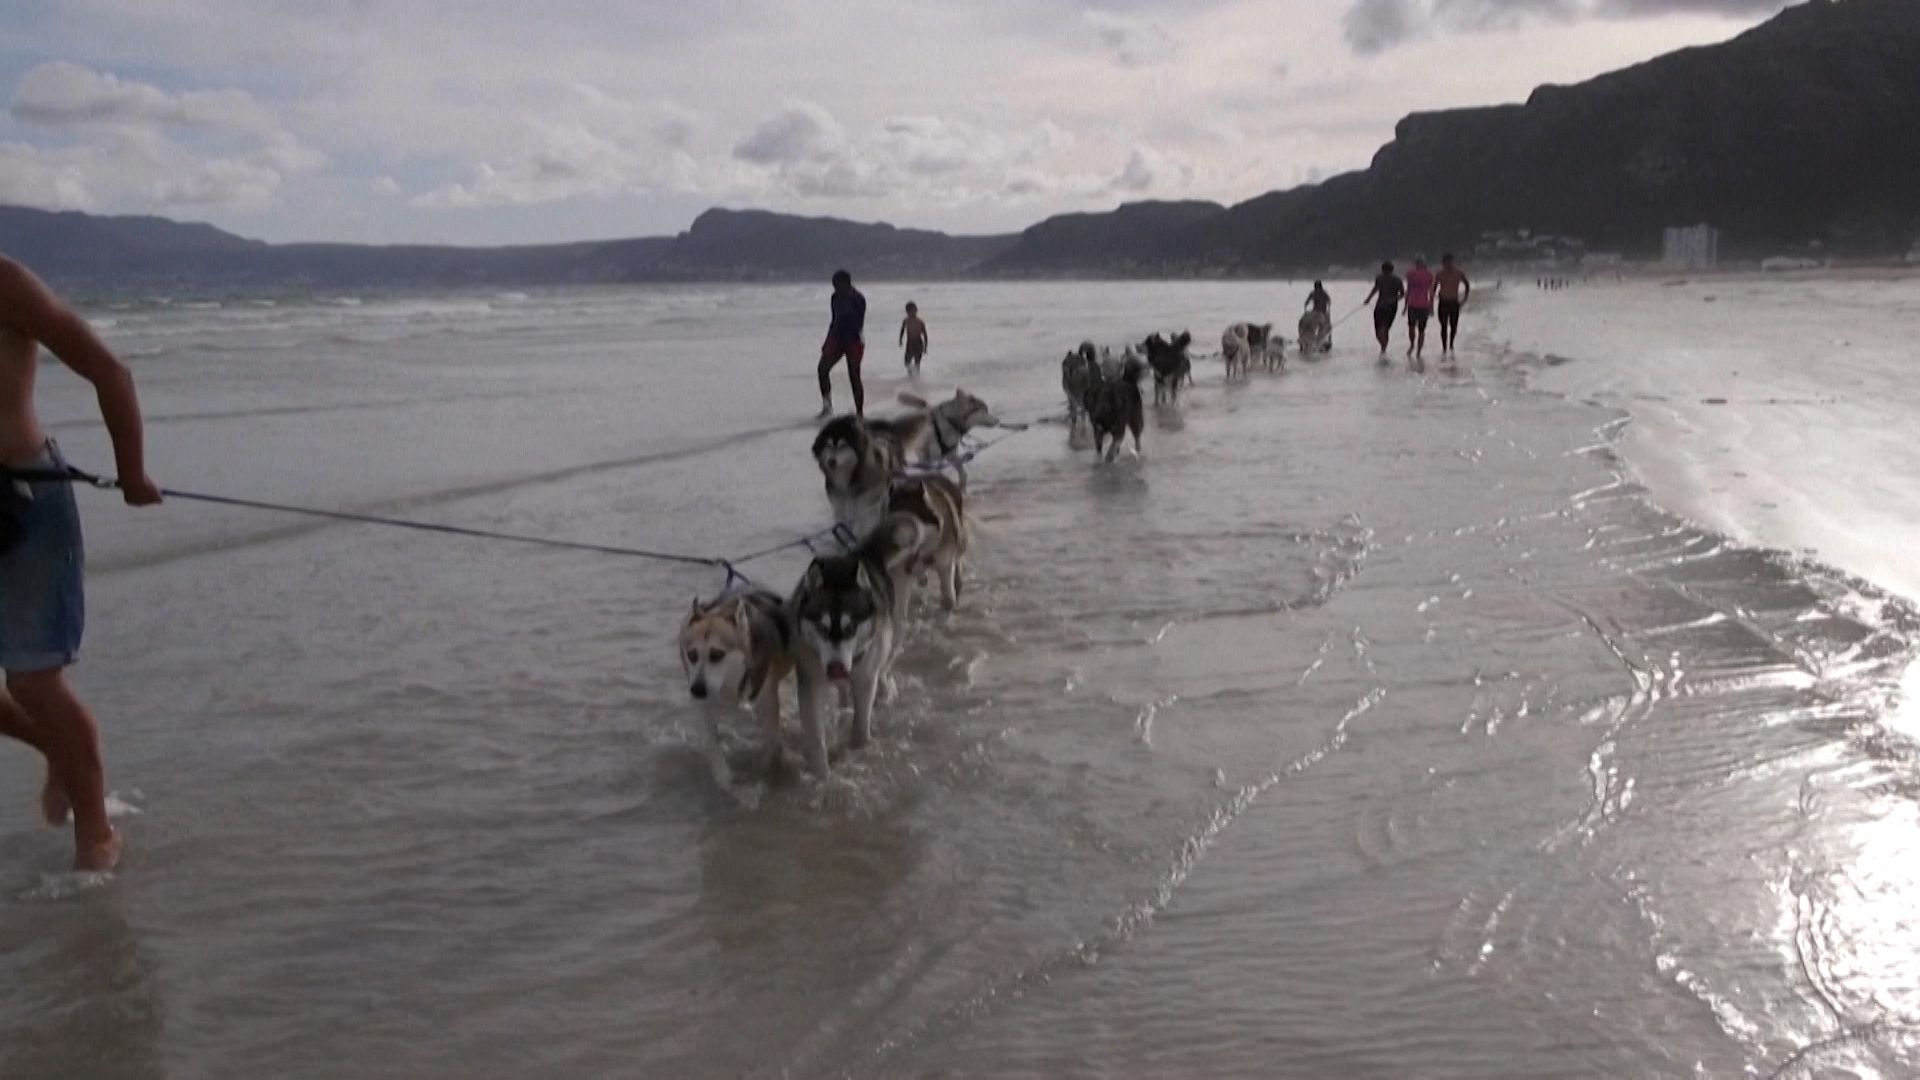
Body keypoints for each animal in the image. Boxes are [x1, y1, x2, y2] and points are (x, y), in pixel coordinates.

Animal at [679, 584, 798, 787]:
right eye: (692, 655)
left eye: (717, 654)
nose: (697, 690)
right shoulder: (703, 703)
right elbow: (711, 742)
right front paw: (723, 777)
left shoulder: (767, 700)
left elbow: (771, 740)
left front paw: (767, 768)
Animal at [783, 511, 925, 768]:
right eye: (822, 627)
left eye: (850, 627)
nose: (836, 667)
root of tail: (863, 553)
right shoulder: (810, 678)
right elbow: (814, 733)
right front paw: (820, 770)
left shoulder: (865, 676)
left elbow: (861, 725)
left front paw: (858, 747)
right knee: (842, 690)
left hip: (886, 640)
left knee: (883, 667)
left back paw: (883, 689)